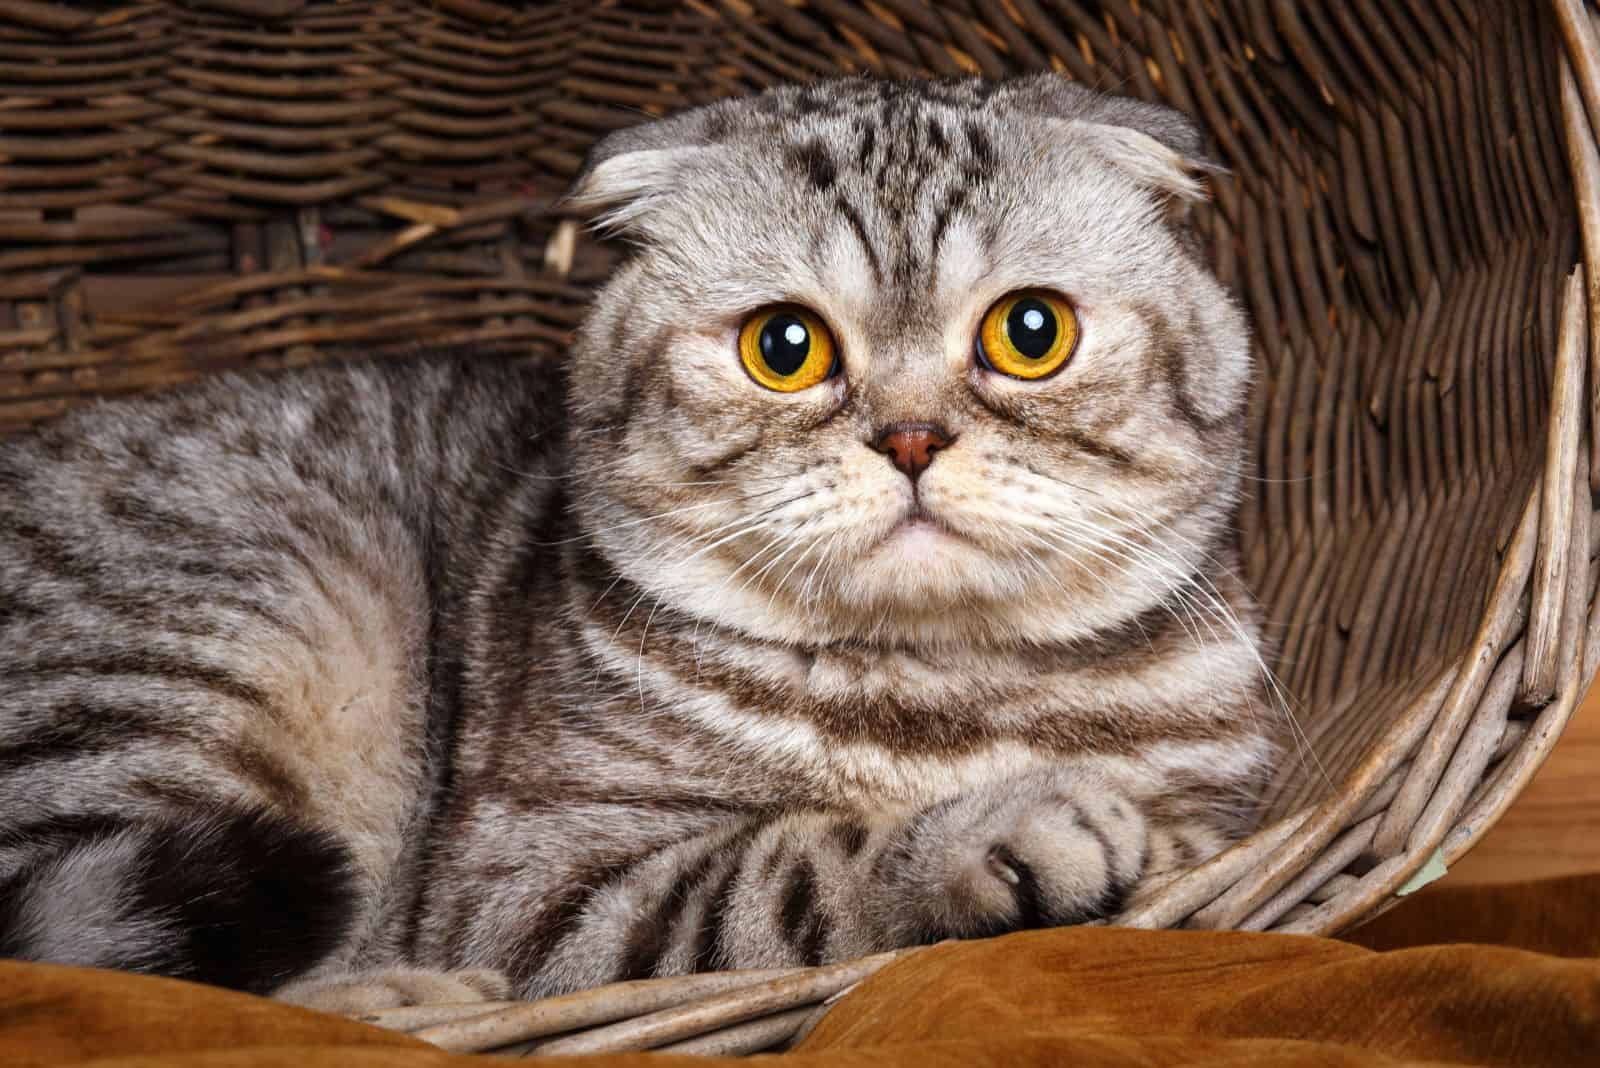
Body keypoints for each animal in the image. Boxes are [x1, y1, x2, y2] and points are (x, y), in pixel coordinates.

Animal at [0, 75, 1273, 1010]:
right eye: (785, 347)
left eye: (1030, 332)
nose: (910, 438)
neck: (938, 696)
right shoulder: (533, 882)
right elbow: (795, 865)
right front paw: (1009, 828)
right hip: (247, 625)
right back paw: (405, 998)